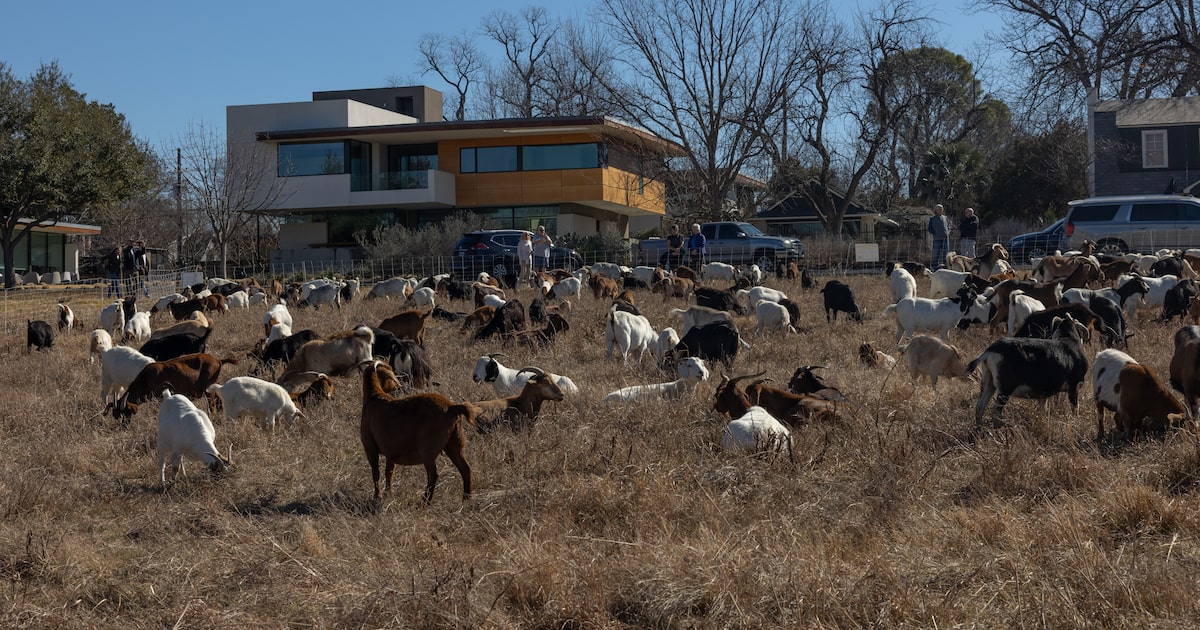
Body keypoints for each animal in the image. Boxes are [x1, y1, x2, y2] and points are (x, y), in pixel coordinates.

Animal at [359, 360, 478, 502]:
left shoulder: (370, 447)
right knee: (465, 469)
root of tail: (451, 407)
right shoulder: (390, 451)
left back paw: (425, 500)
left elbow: (375, 472)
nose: (397, 388)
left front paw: (377, 496)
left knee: (433, 474)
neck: (374, 396)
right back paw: (466, 498)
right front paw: (388, 494)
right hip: (455, 443)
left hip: (428, 448)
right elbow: (389, 472)